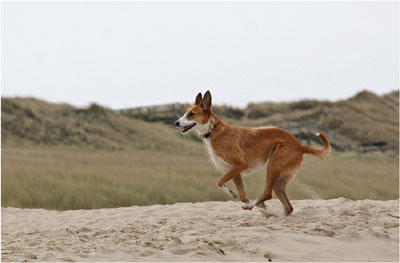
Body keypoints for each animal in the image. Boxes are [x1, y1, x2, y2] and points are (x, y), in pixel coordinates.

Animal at [173, 91, 330, 217]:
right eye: (185, 113)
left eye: (191, 114)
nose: (176, 123)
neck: (213, 130)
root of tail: (300, 145)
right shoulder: (235, 171)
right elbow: (242, 195)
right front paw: (253, 203)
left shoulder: (240, 165)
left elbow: (219, 182)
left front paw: (232, 194)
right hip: (279, 179)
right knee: (288, 207)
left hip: (273, 167)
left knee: (267, 193)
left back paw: (252, 206)